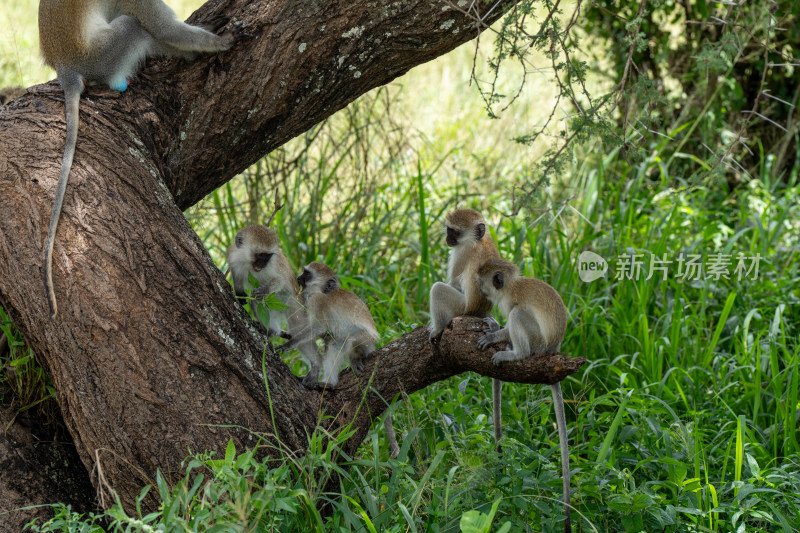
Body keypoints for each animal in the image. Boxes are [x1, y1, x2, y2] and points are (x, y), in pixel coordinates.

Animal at [39, 0, 238, 316]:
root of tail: (65, 69)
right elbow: (165, 29)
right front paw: (220, 42)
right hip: (103, 57)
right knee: (135, 27)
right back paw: (190, 54)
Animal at [227, 224, 320, 386]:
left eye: (267, 256)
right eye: (260, 254)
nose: (262, 265)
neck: (248, 263)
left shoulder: (275, 266)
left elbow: (280, 279)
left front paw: (264, 290)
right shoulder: (234, 257)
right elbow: (237, 278)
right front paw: (240, 295)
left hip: (293, 306)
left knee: (299, 329)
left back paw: (316, 366)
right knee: (256, 303)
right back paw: (272, 331)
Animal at [278, 262, 400, 458]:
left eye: (307, 274)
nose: (298, 277)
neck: (323, 292)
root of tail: (374, 345)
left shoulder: (318, 302)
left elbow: (318, 327)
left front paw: (290, 342)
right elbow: (323, 332)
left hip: (365, 342)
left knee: (346, 339)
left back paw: (338, 376)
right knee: (333, 341)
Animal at [428, 208, 504, 448]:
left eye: (454, 231)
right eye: (448, 229)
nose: (447, 239)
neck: (478, 241)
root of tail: (476, 312)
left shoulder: (461, 254)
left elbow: (451, 283)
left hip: (459, 308)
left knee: (438, 289)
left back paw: (438, 328)